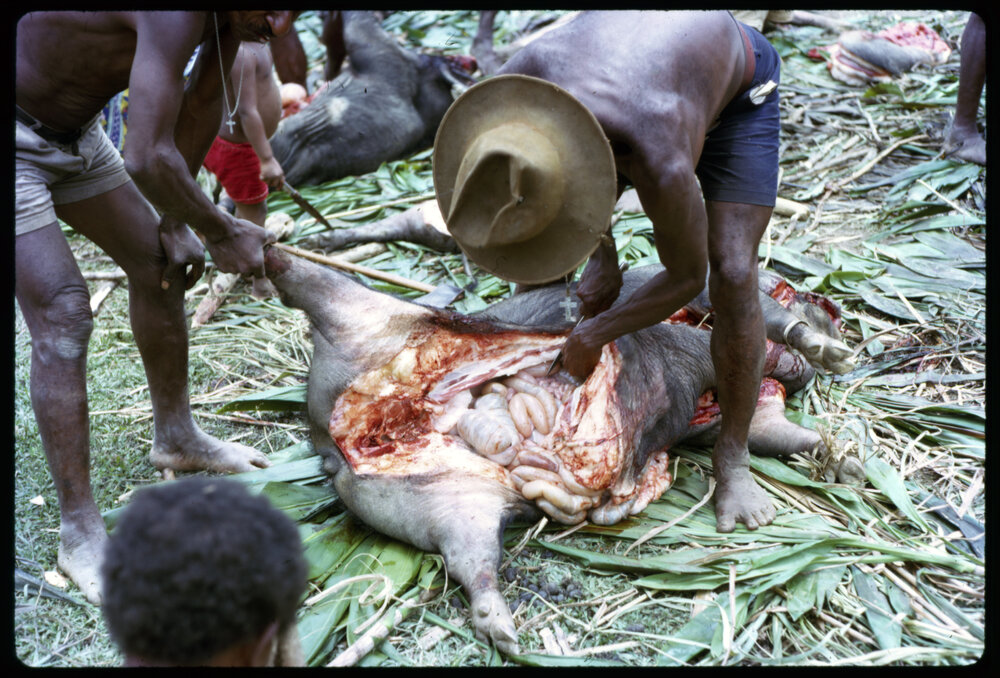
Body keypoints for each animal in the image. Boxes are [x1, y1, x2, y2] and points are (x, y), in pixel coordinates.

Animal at [263, 246, 855, 655]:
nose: (830, 310)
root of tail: (334, 438)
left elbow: (765, 425)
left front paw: (838, 456)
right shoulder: (706, 308)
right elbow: (752, 328)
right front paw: (821, 349)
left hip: (437, 502)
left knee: (470, 557)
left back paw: (500, 629)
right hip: (376, 314)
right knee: (323, 285)